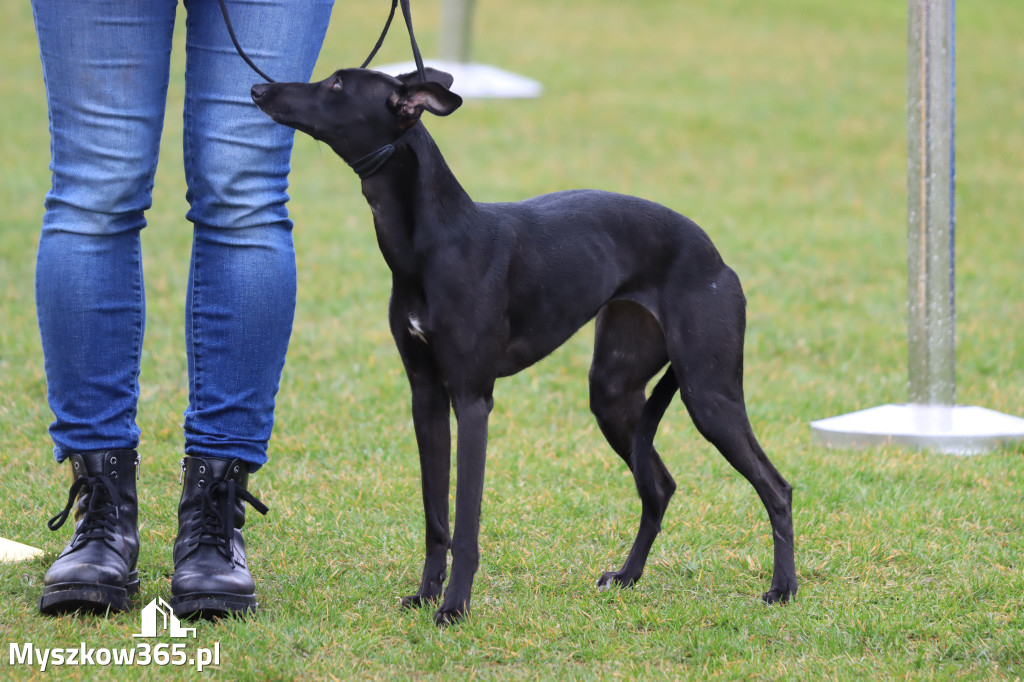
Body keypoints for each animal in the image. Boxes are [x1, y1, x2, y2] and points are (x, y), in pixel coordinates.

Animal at [251, 67, 794, 622]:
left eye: (338, 86)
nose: (258, 90)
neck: (435, 241)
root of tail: (715, 254)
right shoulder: (426, 396)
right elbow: (435, 515)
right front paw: (425, 595)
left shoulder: (473, 398)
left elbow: (466, 520)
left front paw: (454, 607)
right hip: (614, 394)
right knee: (659, 486)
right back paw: (627, 575)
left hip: (708, 393)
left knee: (776, 487)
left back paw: (783, 588)